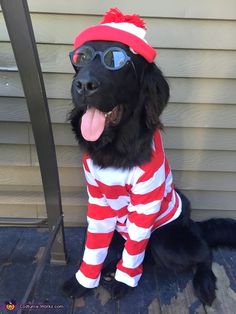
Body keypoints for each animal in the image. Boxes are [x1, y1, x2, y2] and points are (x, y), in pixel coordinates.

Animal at [62, 38, 236, 304]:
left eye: (117, 61)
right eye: (80, 57)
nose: (83, 85)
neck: (116, 149)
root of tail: (193, 224)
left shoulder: (145, 204)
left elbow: (134, 251)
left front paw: (124, 282)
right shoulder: (98, 203)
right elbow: (93, 249)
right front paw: (82, 281)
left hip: (167, 242)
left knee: (204, 251)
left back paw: (204, 282)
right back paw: (110, 269)